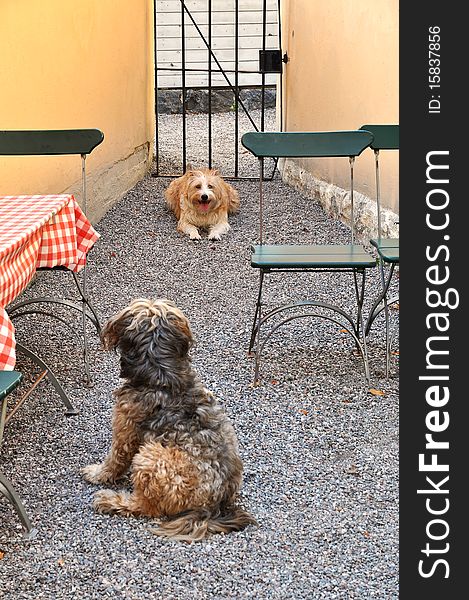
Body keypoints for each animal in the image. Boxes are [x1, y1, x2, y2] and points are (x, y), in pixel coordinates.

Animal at [81, 298, 256, 540]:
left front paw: (97, 474)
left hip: (150, 457)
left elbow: (114, 460)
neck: (162, 374)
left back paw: (111, 500)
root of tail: (211, 509)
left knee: (146, 507)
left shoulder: (125, 429)